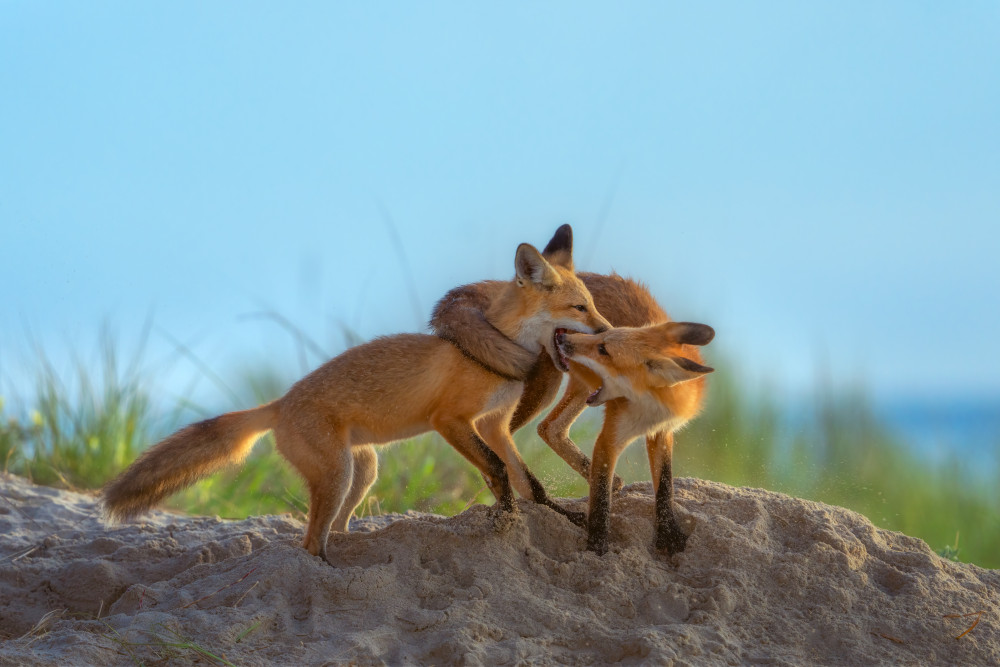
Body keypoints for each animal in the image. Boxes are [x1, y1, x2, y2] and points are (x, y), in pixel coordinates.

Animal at [105, 243, 612, 560]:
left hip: (362, 471)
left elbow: (529, 482)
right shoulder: (450, 420)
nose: (610, 332)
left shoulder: (494, 424)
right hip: (337, 475)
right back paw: (326, 575)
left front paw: (559, 516)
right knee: (311, 542)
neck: (494, 354)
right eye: (580, 308)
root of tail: (280, 402)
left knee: (337, 529)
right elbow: (495, 469)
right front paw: (504, 518)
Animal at [430, 227, 712, 556]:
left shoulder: (662, 431)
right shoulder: (611, 435)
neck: (647, 405)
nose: (605, 330)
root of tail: (500, 285)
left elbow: (665, 486)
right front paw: (598, 549)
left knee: (549, 429)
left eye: (606, 349)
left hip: (575, 387)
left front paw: (668, 535)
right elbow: (601, 504)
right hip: (541, 387)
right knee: (506, 435)